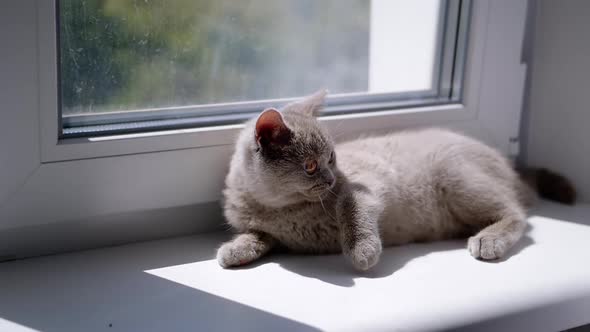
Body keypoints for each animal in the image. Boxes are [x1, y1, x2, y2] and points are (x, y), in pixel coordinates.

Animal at [220, 90, 576, 270]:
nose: (331, 178)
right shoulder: (267, 228)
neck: (280, 209)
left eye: (332, 158)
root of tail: (509, 165)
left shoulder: (365, 184)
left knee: (516, 214)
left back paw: (488, 239)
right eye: (310, 165)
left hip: (458, 177)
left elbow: (353, 209)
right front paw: (235, 250)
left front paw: (362, 250)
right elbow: (258, 235)